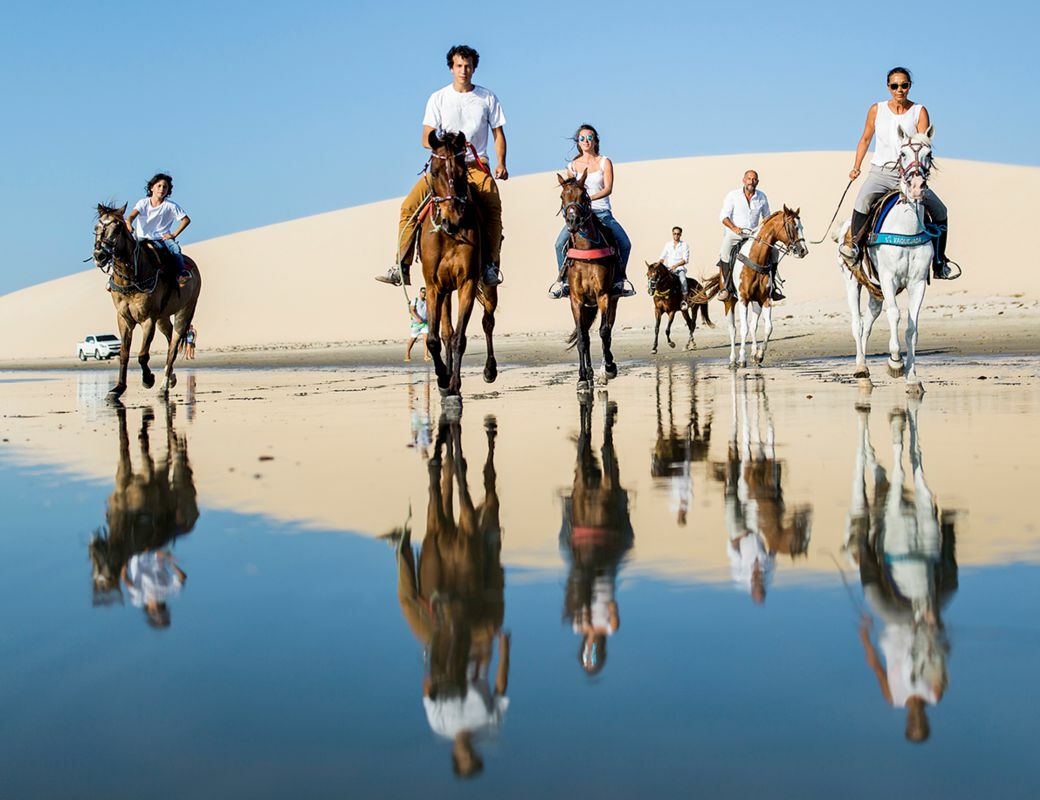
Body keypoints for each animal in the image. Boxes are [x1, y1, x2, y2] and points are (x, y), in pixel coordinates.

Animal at [94, 202, 201, 395]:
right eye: (96, 228)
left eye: (117, 228)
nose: (99, 255)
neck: (132, 277)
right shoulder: (124, 318)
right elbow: (124, 354)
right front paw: (118, 388)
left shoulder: (148, 318)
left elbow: (143, 355)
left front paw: (148, 379)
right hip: (162, 318)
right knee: (169, 339)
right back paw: (171, 378)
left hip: (185, 311)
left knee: (173, 346)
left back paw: (164, 385)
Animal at [418, 133, 499, 405]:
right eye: (434, 171)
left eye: (463, 171)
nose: (451, 220)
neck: (449, 235)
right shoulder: (433, 286)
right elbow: (434, 339)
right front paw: (443, 379)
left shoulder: (468, 283)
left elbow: (459, 339)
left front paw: (453, 384)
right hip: (445, 291)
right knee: (445, 331)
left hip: (486, 287)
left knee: (488, 321)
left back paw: (489, 370)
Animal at [694, 205, 807, 368]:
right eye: (793, 227)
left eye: (802, 226)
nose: (803, 250)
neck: (756, 258)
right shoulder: (743, 299)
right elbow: (743, 329)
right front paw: (742, 359)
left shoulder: (765, 300)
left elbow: (768, 327)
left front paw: (759, 355)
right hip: (730, 302)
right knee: (733, 329)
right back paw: (733, 359)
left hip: (756, 303)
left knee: (754, 326)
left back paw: (754, 353)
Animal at [832, 125, 940, 395]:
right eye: (902, 154)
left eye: (929, 154)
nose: (917, 186)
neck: (907, 227)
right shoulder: (890, 279)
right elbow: (895, 315)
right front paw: (895, 363)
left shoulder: (917, 282)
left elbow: (912, 327)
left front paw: (912, 378)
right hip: (852, 281)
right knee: (857, 324)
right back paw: (861, 368)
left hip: (875, 291)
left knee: (867, 323)